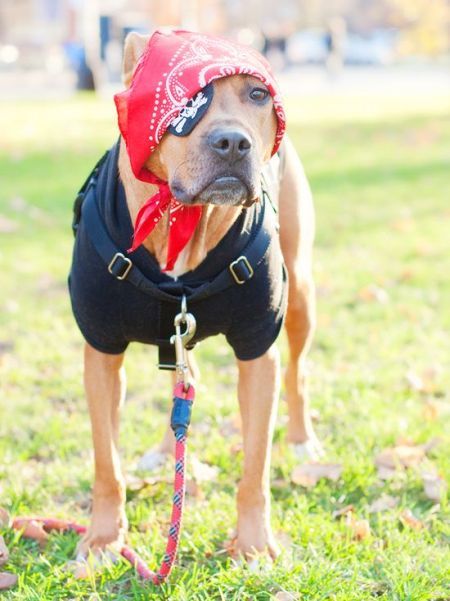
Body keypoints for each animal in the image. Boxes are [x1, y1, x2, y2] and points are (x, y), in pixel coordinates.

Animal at [68, 30, 322, 564]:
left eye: (257, 95)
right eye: (187, 102)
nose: (233, 142)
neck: (184, 219)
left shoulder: (258, 349)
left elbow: (255, 468)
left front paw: (254, 544)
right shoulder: (101, 351)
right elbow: (106, 462)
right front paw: (103, 538)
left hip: (301, 294)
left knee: (297, 372)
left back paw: (301, 440)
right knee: (183, 382)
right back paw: (167, 453)